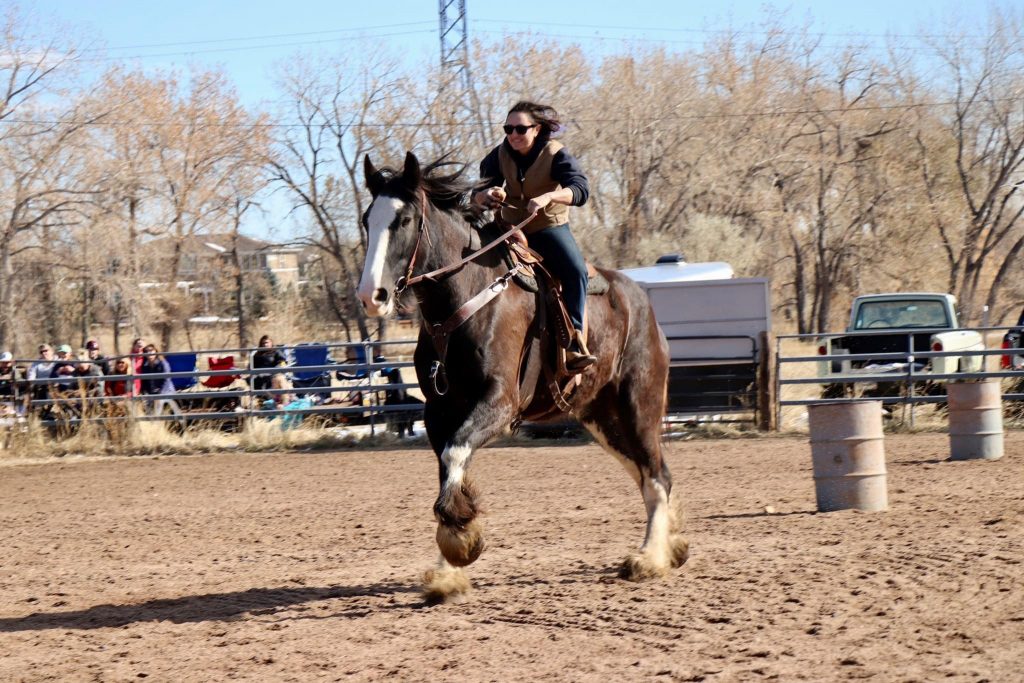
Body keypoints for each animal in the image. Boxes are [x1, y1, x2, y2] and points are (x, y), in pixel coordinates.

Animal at [354, 152, 688, 602]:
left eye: (403, 220)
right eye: (367, 219)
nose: (371, 296)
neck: (466, 299)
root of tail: (642, 304)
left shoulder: (499, 403)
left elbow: (455, 456)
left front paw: (461, 543)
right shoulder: (439, 412)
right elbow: (449, 468)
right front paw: (448, 570)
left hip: (639, 406)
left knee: (655, 475)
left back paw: (650, 558)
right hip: (601, 418)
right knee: (645, 474)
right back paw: (671, 544)